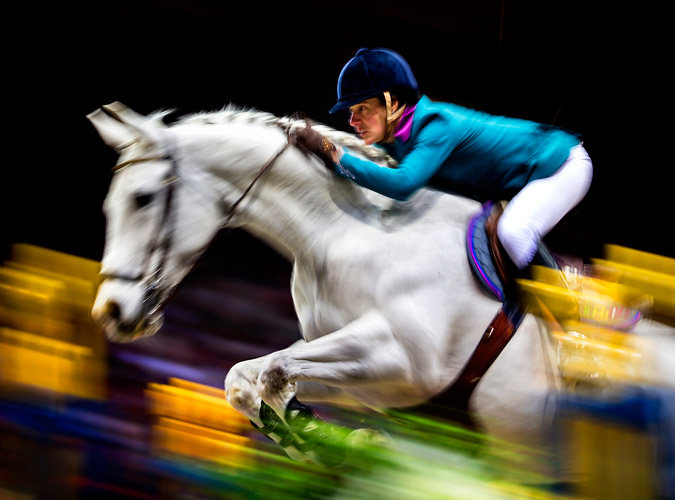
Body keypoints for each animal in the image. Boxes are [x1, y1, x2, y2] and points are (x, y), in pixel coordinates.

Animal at [87, 100, 672, 472]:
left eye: (142, 198)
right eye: (109, 205)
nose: (111, 313)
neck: (337, 233)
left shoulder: (407, 362)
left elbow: (274, 373)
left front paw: (325, 439)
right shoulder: (362, 373)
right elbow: (244, 379)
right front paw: (319, 437)